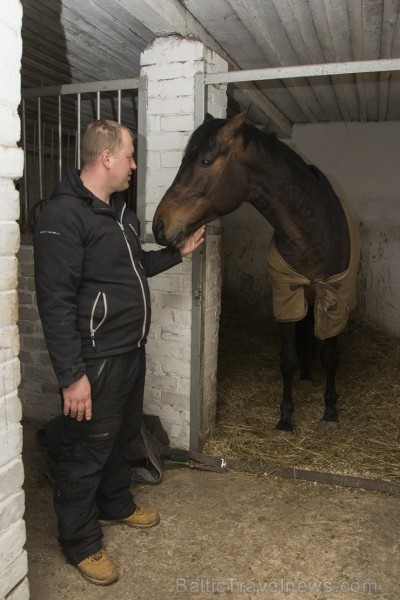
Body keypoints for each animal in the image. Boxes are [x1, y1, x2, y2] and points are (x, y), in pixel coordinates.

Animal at [152, 112, 360, 432]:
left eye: (205, 161)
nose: (159, 225)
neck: (314, 233)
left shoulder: (335, 299)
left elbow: (330, 357)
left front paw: (330, 411)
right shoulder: (287, 298)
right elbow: (288, 358)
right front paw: (286, 417)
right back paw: (305, 376)